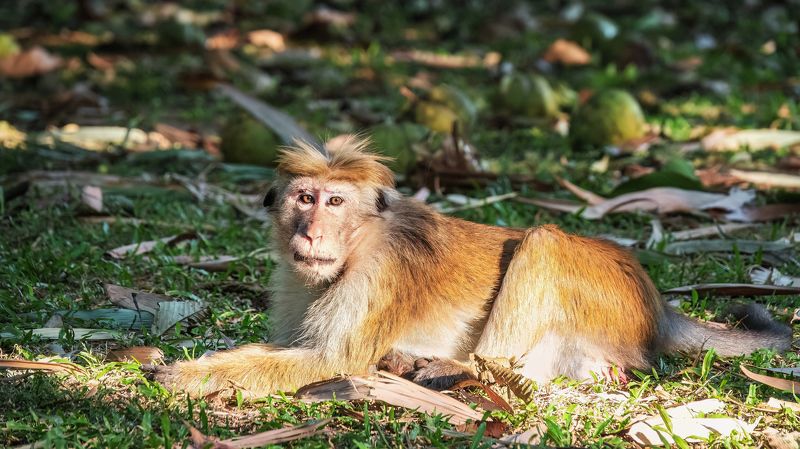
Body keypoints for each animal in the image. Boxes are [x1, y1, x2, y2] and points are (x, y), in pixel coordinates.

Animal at [154, 134, 791, 396]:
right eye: (304, 198)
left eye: (334, 202)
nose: (311, 232)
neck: (359, 245)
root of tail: (655, 302)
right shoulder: (292, 282)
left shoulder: (377, 278)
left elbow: (329, 362)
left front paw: (185, 376)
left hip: (602, 295)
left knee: (542, 243)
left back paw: (458, 369)